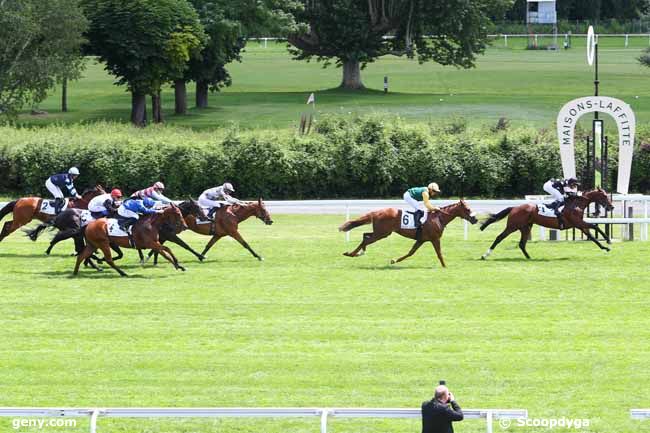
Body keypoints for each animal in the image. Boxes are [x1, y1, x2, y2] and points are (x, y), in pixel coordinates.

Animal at [340, 200, 476, 266]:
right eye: (468, 209)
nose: (475, 219)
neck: (439, 218)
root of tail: (377, 212)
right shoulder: (435, 239)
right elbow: (439, 254)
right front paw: (445, 266)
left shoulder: (421, 239)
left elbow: (411, 252)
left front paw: (394, 260)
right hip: (382, 233)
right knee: (367, 239)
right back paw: (353, 253)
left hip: (380, 232)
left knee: (365, 235)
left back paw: (357, 252)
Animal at [480, 187, 612, 258]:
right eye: (605, 196)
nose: (612, 207)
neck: (576, 204)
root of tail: (514, 208)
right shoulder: (578, 223)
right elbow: (594, 226)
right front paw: (608, 240)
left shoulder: (579, 225)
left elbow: (592, 236)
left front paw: (605, 247)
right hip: (513, 226)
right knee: (499, 237)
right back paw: (485, 255)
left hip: (525, 227)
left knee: (522, 244)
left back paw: (529, 257)